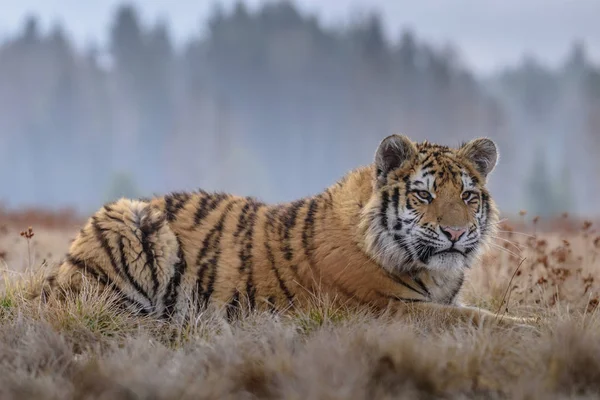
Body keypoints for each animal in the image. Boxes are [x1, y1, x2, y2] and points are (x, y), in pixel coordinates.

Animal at [41, 135, 528, 328]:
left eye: (468, 196)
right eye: (424, 195)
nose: (454, 233)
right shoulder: (391, 311)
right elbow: (482, 319)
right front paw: (535, 329)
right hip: (130, 220)